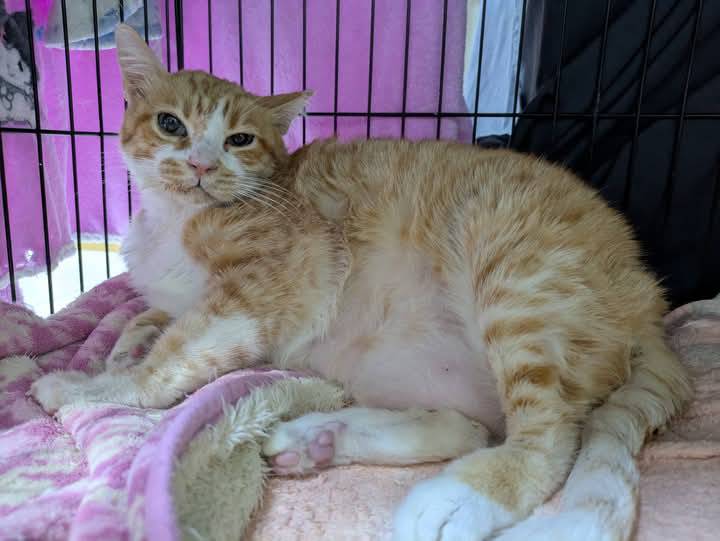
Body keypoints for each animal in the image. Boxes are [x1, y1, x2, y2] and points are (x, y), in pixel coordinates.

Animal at [30, 24, 691, 541]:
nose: (200, 165)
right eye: (170, 125)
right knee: (472, 428)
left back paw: (455, 497)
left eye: (240, 139)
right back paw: (318, 436)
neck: (175, 220)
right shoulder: (178, 295)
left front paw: (93, 386)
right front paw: (123, 344)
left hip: (516, 281)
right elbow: (146, 315)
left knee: (549, 441)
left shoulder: (253, 293)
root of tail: (648, 299)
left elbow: (172, 358)